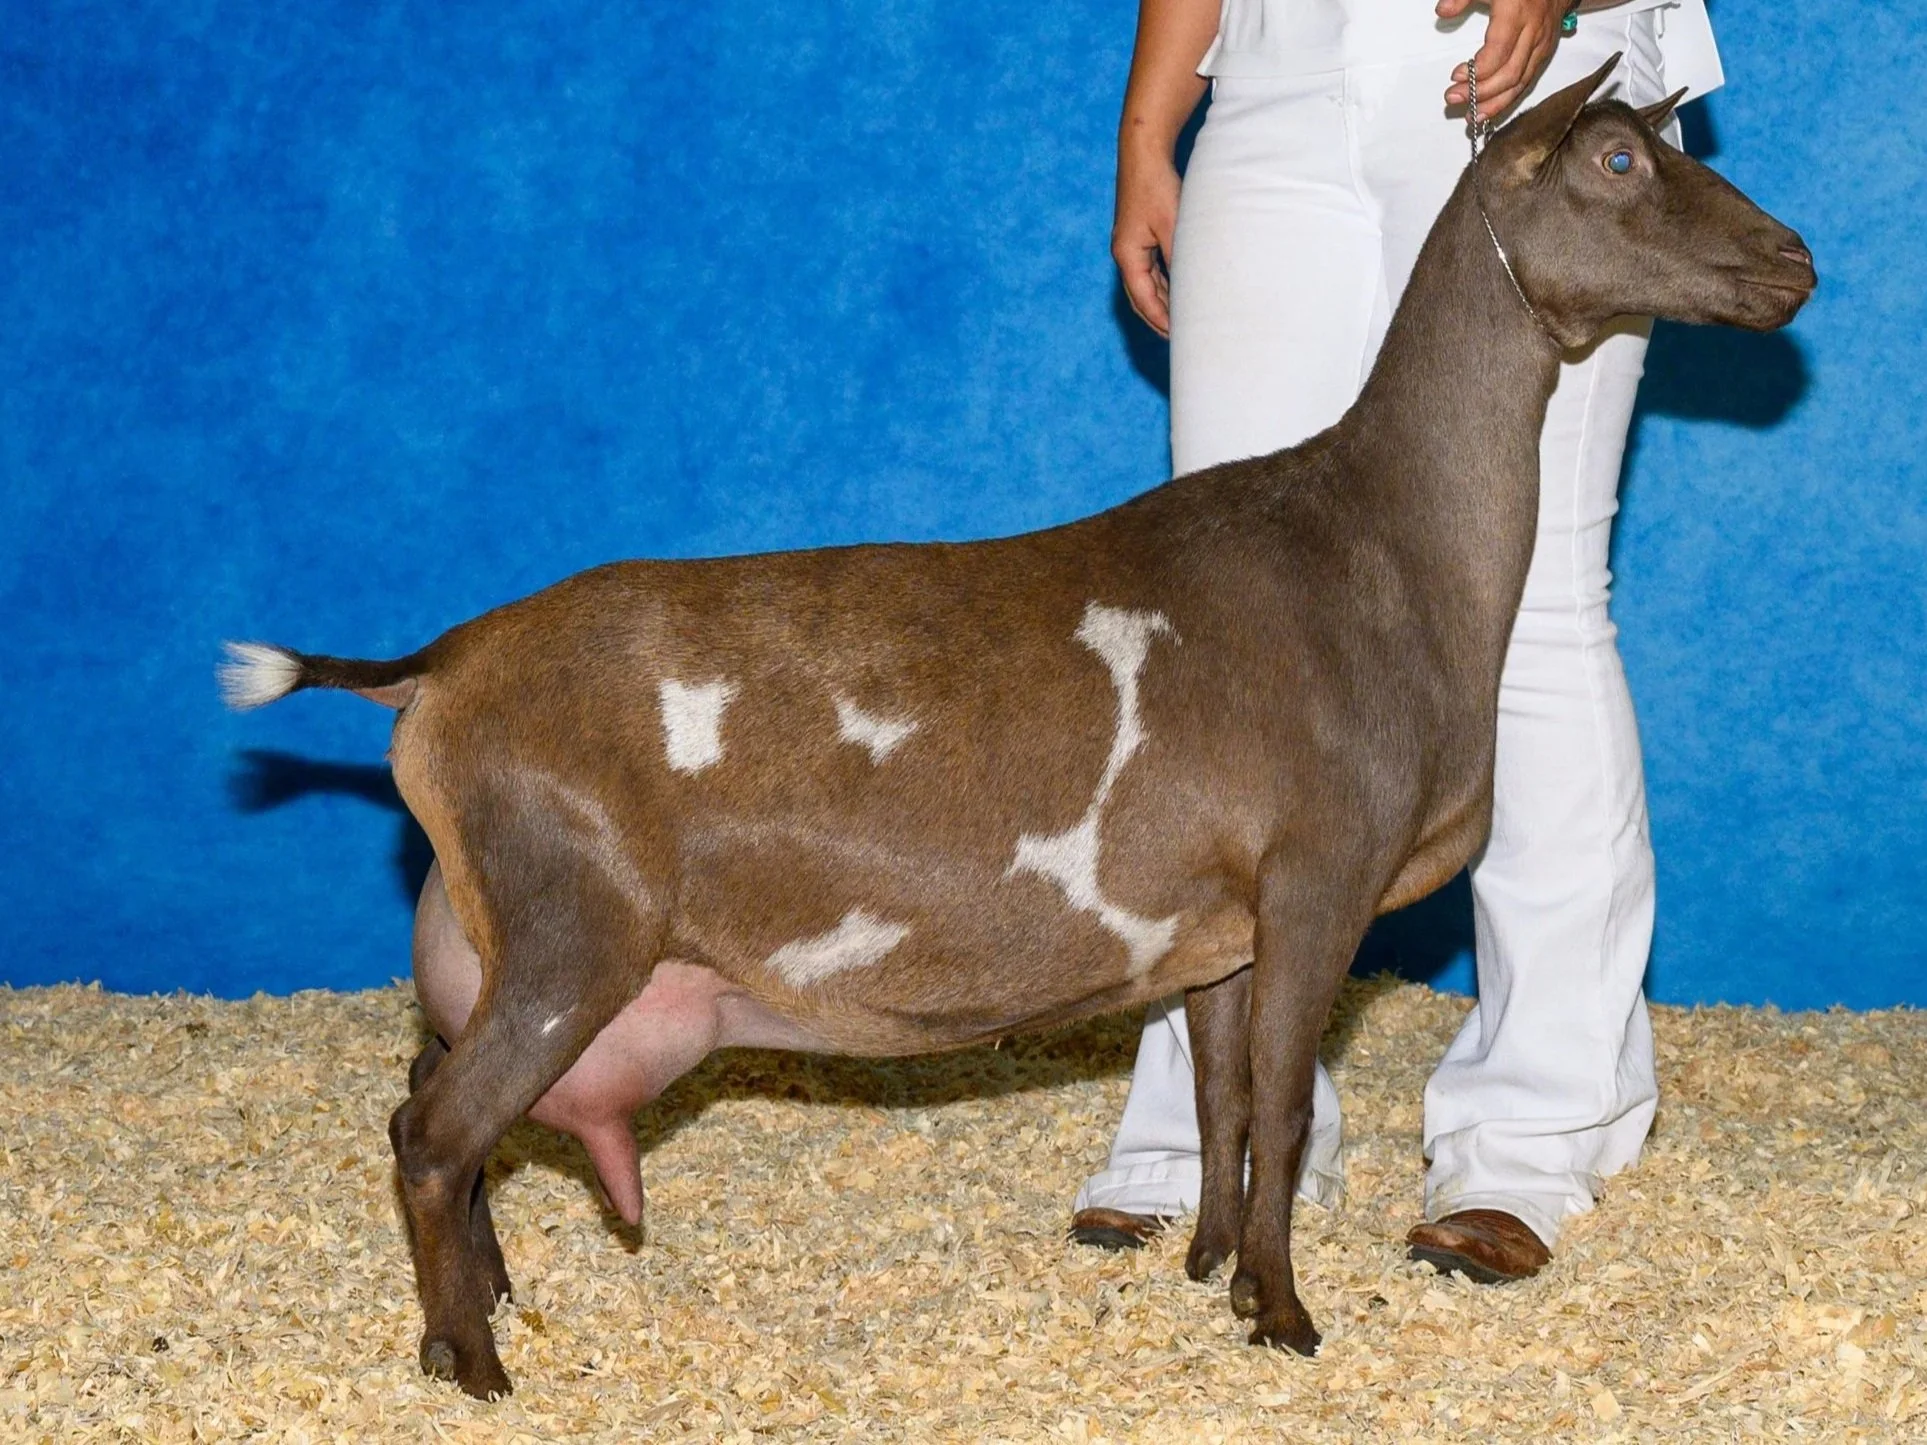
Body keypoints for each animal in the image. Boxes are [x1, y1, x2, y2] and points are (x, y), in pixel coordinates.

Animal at [222, 58, 1813, 1398]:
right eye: (1618, 156)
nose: (1794, 260)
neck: (1378, 546)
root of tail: (434, 667)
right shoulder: (1319, 876)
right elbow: (1286, 1108)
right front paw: (1289, 1318)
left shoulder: (1222, 922)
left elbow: (1226, 1097)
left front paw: (1212, 1272)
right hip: (572, 927)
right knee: (435, 1132)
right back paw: (469, 1361)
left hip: (481, 930)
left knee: (424, 1095)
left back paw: (487, 1303)